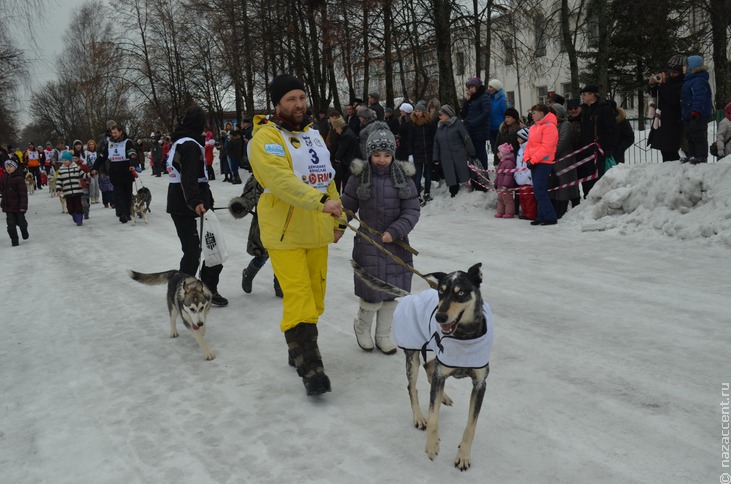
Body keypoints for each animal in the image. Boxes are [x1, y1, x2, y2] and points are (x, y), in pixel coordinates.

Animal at [352, 262, 494, 470]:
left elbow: (471, 425)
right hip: (413, 357)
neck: (464, 337)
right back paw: (419, 417)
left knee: (429, 368)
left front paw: (464, 455)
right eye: (441, 292)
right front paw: (432, 446)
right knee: (413, 386)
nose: (440, 317)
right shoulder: (440, 374)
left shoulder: (479, 384)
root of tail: (409, 296)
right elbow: (433, 415)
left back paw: (444, 397)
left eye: (461, 293)